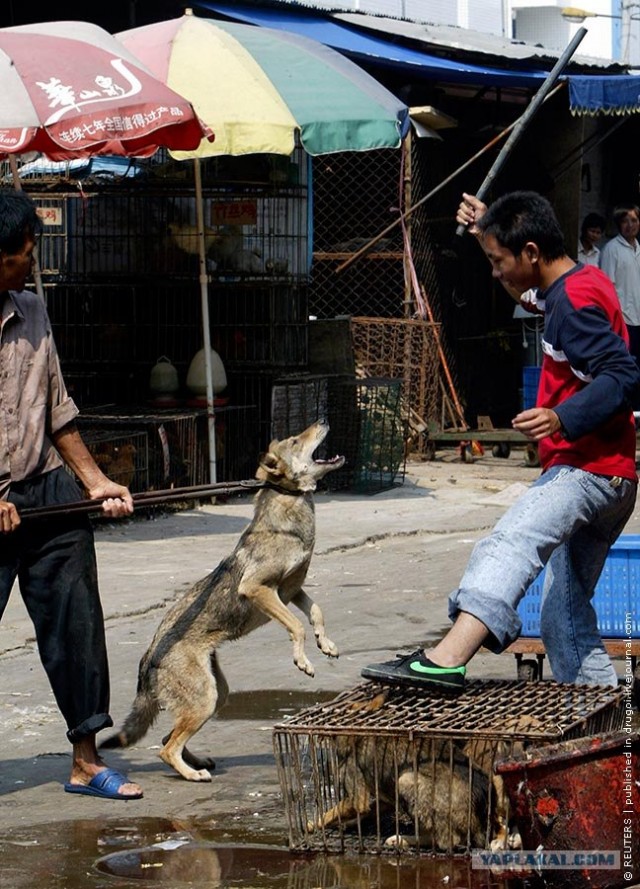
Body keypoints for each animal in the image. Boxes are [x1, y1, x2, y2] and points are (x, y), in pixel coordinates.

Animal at [101, 420, 344, 780]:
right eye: (296, 441)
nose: (324, 421)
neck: (289, 507)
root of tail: (147, 660)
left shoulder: (291, 591)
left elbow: (316, 612)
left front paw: (325, 643)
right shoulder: (258, 589)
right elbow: (296, 626)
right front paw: (302, 660)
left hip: (216, 696)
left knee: (168, 736)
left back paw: (196, 762)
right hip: (205, 698)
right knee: (165, 748)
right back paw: (192, 773)